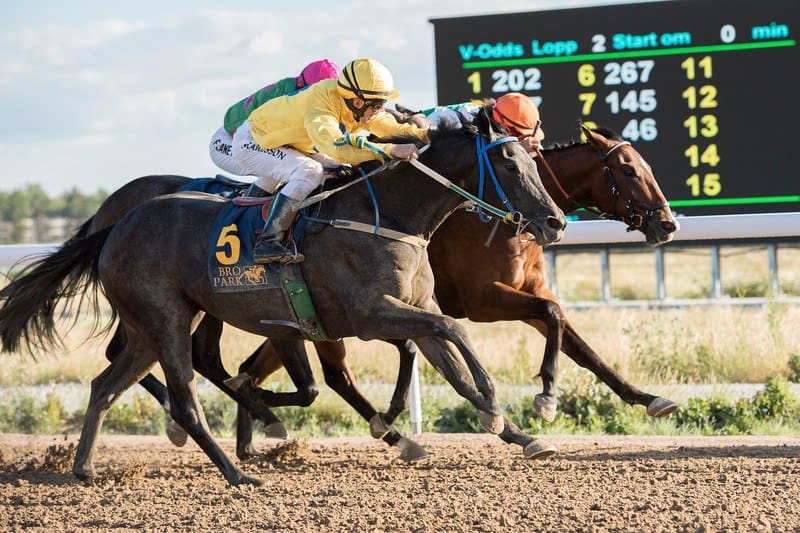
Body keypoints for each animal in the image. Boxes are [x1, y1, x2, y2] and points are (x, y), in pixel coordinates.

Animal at [0, 113, 564, 486]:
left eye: (534, 159)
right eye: (509, 165)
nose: (555, 222)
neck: (384, 216)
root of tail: (113, 226)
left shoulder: (408, 311)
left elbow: (450, 366)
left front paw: (521, 435)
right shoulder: (370, 316)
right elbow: (455, 330)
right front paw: (499, 405)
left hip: (153, 326)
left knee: (105, 384)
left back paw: (84, 467)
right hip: (167, 319)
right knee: (185, 397)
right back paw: (237, 471)